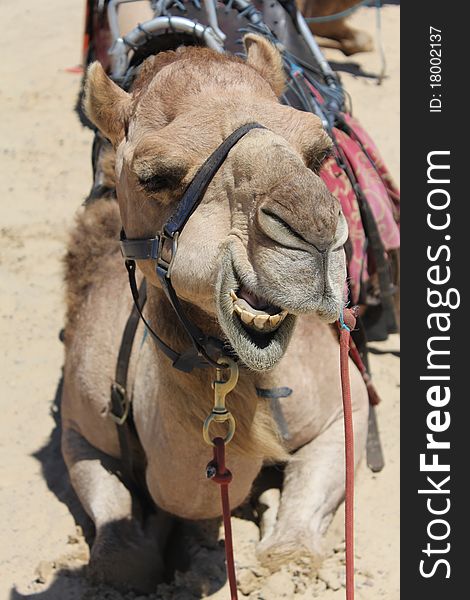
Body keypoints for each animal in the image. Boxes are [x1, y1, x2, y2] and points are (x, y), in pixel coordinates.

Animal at [62, 35, 370, 592]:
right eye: (154, 176)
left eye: (319, 152)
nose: (313, 232)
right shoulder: (78, 426)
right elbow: (120, 556)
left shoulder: (346, 405)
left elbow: (292, 546)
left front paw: (268, 515)